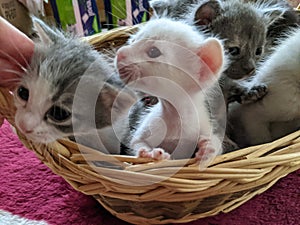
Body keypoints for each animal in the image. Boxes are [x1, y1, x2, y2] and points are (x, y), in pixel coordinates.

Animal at [115, 17, 225, 165]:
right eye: (132, 41)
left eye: (153, 51)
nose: (120, 53)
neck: (176, 117)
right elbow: (136, 142)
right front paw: (151, 153)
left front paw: (209, 148)